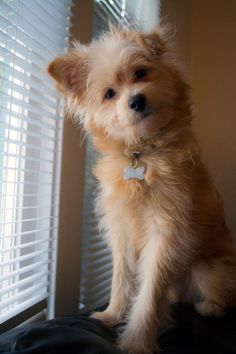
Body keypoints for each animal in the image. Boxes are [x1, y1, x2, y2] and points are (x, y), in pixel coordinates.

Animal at [48, 28, 236, 354]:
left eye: (140, 73)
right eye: (109, 94)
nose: (136, 100)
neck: (141, 152)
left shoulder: (165, 233)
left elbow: (149, 293)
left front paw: (137, 340)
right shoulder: (121, 231)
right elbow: (121, 278)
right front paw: (112, 315)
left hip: (207, 269)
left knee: (222, 295)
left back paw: (210, 306)